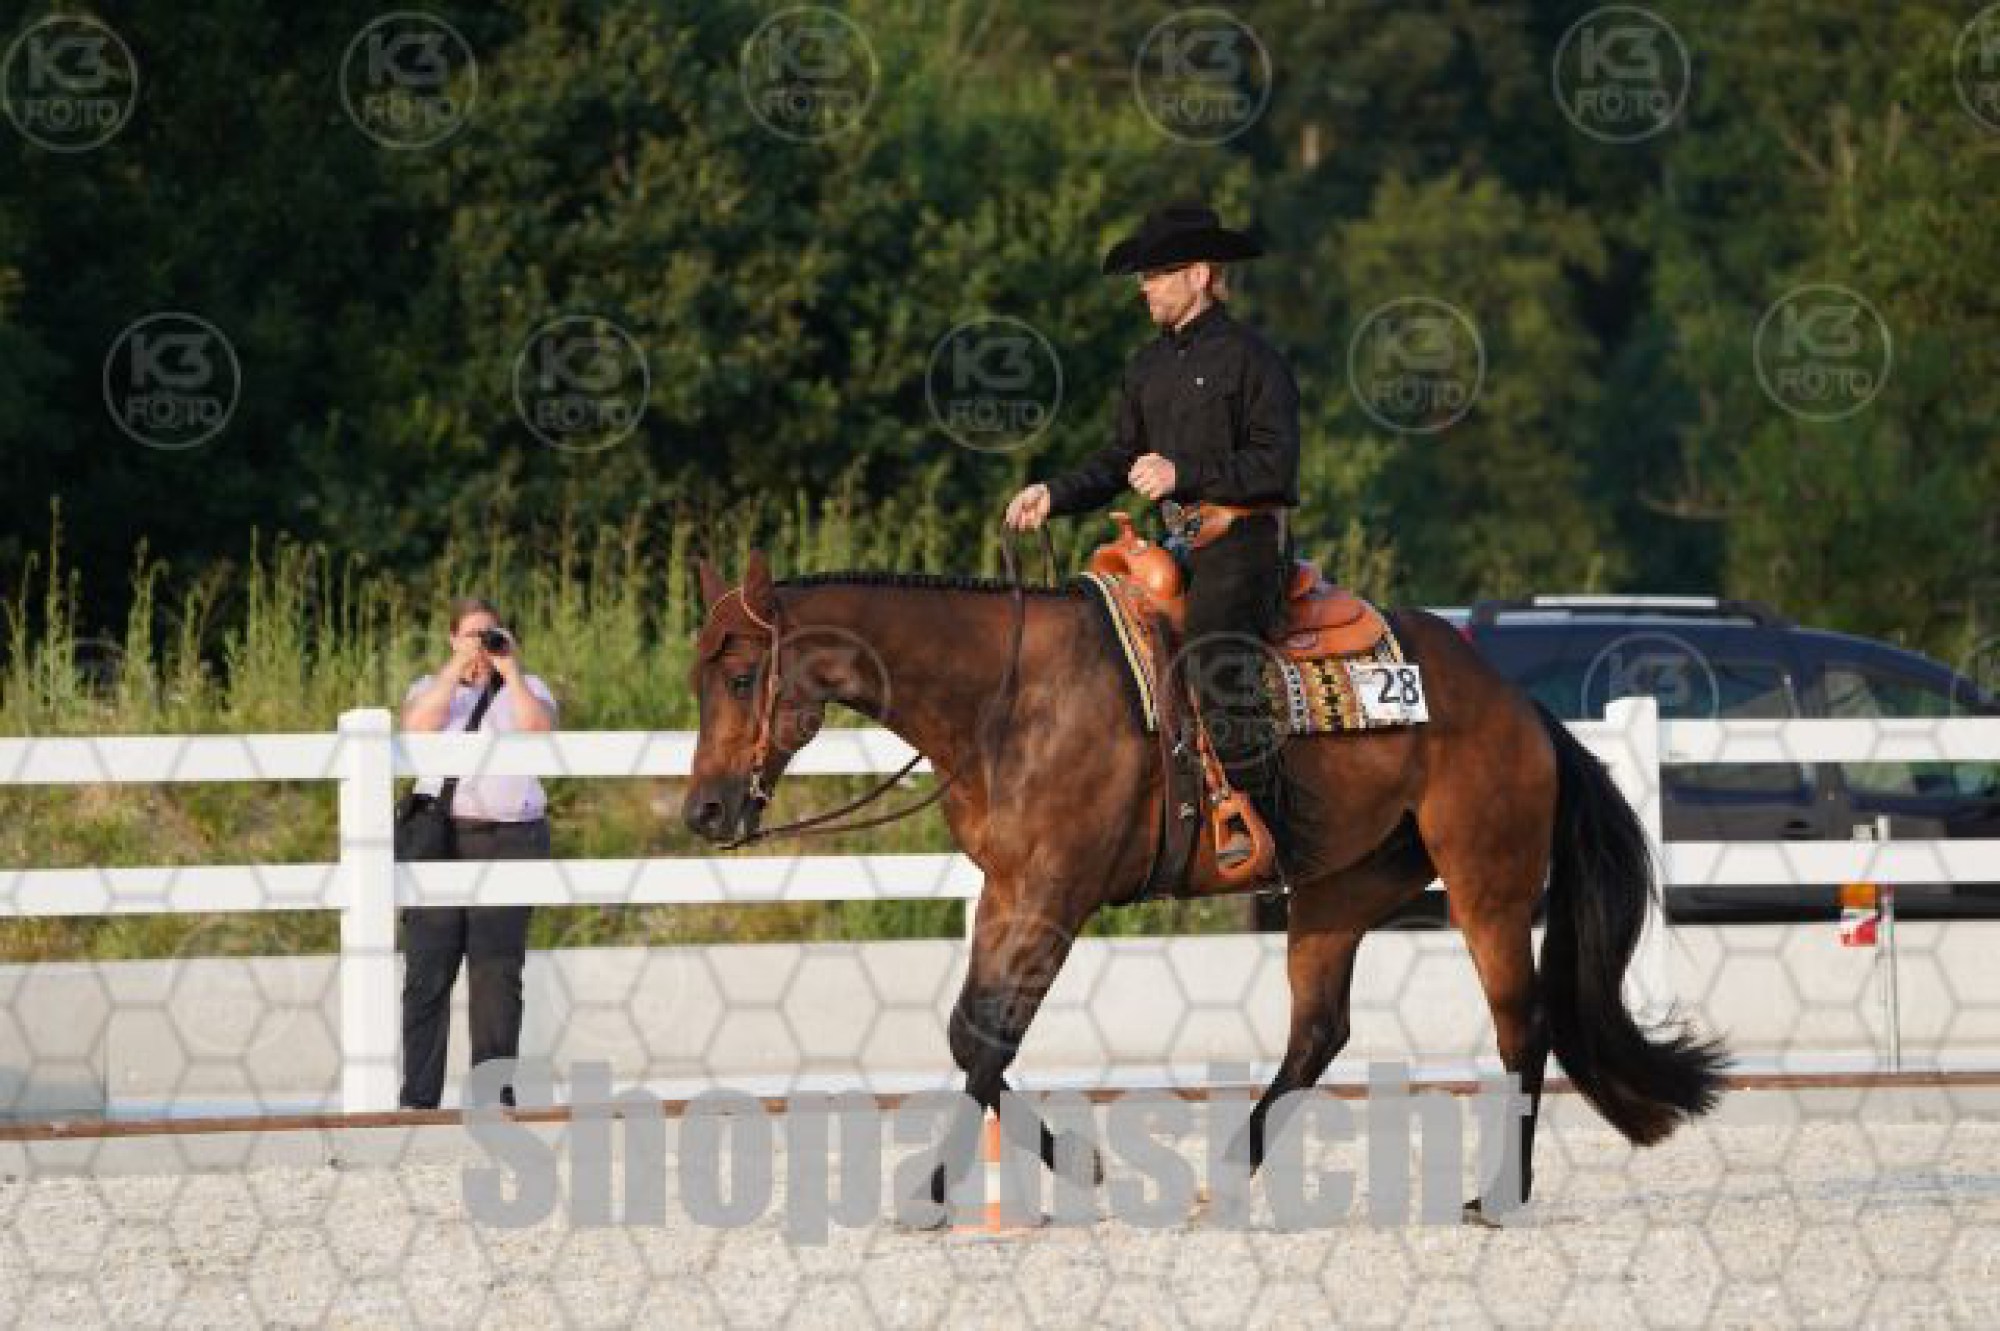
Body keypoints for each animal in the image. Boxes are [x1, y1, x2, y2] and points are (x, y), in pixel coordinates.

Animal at [682, 548, 1726, 1222]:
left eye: (738, 677)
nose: (705, 810)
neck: (1010, 695)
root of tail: (1523, 707)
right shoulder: (1008, 889)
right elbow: (971, 1035)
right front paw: (1079, 1164)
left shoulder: (1056, 893)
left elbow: (987, 1040)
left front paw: (933, 1194)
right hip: (1338, 892)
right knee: (1318, 1034)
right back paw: (1224, 1179)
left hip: (1488, 886)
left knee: (1523, 1027)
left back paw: (1498, 1196)